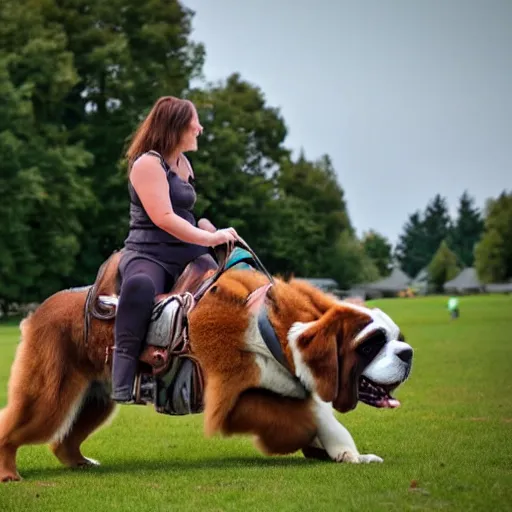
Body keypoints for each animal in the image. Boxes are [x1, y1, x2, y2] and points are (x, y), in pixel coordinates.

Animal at [0, 254, 410, 482]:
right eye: (371, 344)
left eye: (396, 337)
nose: (408, 353)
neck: (275, 332)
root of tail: (39, 309)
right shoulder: (232, 402)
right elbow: (301, 416)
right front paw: (313, 442)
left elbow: (321, 415)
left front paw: (347, 455)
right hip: (49, 396)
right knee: (15, 427)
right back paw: (9, 474)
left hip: (97, 397)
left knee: (63, 441)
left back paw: (80, 462)